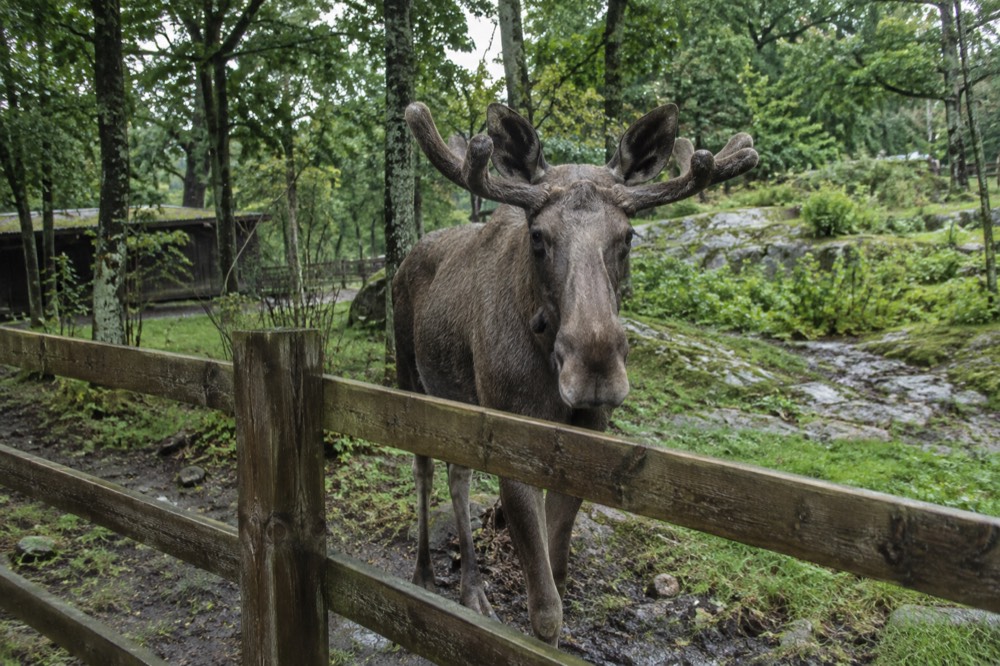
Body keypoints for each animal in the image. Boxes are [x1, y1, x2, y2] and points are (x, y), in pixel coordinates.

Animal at [393, 101, 758, 646]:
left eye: (628, 236)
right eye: (538, 237)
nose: (595, 373)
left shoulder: (586, 439)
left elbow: (558, 573)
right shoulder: (512, 437)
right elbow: (546, 608)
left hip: (464, 399)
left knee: (459, 473)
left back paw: (473, 590)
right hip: (409, 375)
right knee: (423, 468)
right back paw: (423, 573)